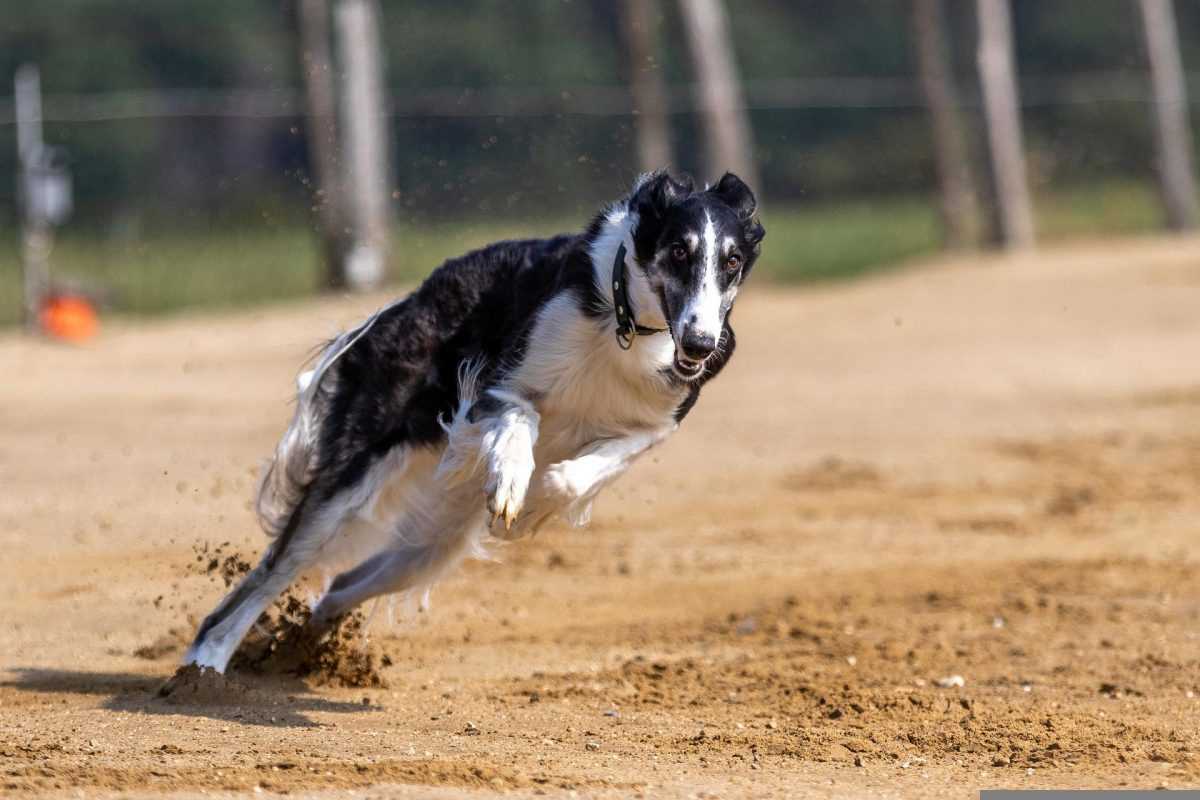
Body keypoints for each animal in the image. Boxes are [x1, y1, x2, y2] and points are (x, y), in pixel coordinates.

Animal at [187, 172, 768, 671]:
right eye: (679, 251)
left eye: (733, 260)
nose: (700, 343)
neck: (627, 328)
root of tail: (414, 297)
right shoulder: (498, 388)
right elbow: (521, 422)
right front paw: (514, 487)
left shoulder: (657, 424)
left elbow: (590, 467)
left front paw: (534, 507)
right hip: (348, 484)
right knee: (264, 579)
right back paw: (205, 666)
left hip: (430, 547)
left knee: (339, 586)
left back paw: (303, 651)